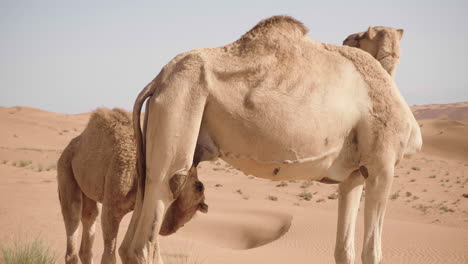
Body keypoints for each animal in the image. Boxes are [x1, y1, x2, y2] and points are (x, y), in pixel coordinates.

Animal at [56, 108, 207, 264]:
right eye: (199, 187)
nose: (174, 227)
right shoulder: (114, 200)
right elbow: (110, 251)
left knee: (89, 216)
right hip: (65, 168)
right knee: (73, 212)